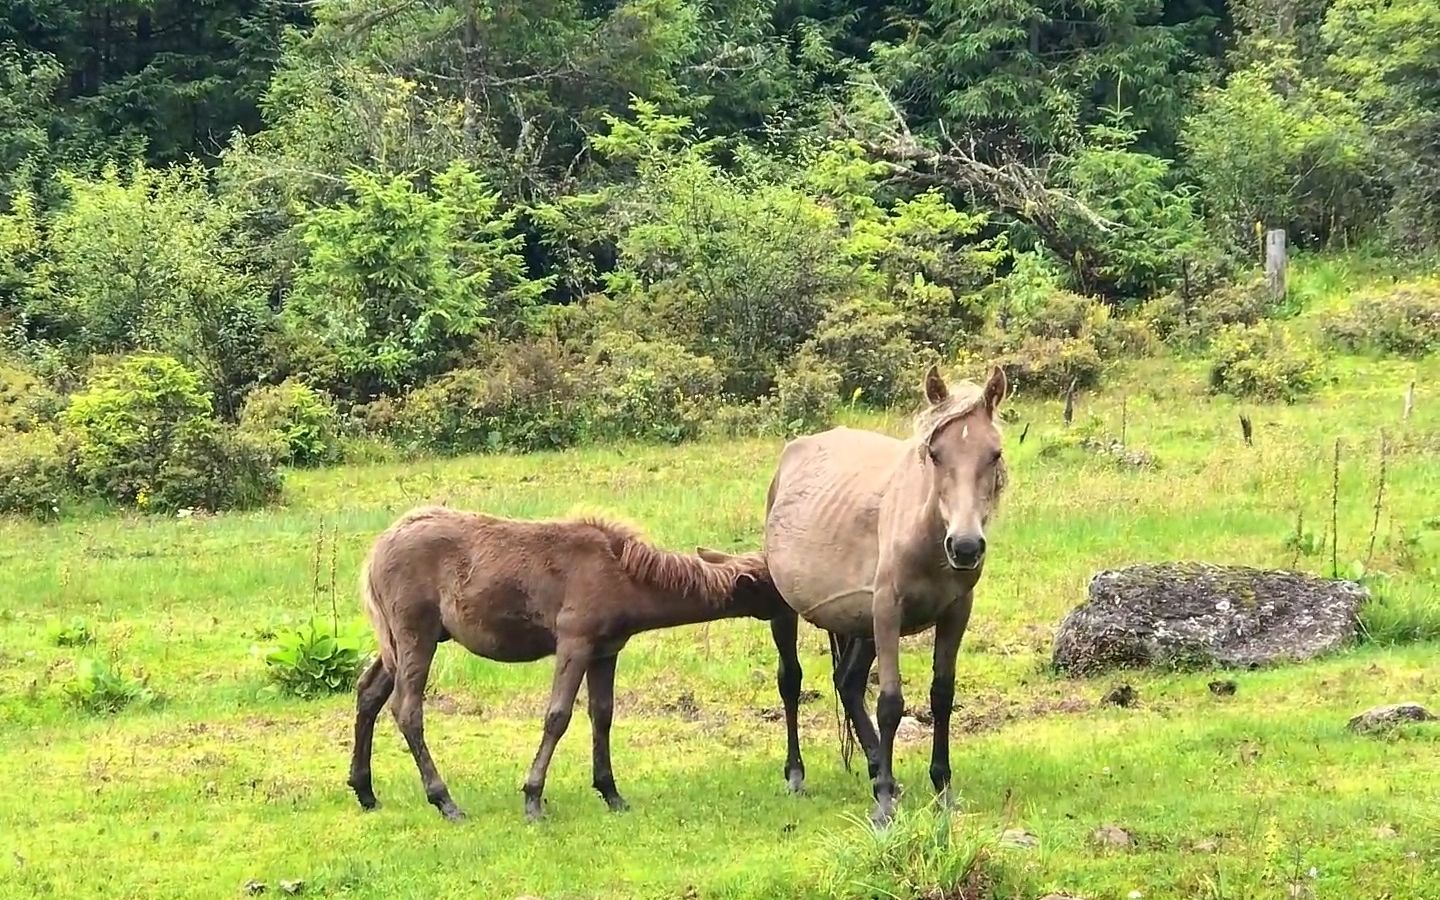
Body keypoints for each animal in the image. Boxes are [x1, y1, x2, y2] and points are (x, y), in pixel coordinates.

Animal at [760, 361, 1008, 823]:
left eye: (995, 454)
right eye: (935, 453)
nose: (965, 547)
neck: (927, 540)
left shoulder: (956, 613)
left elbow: (942, 696)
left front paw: (942, 790)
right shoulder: (888, 612)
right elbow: (891, 703)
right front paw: (884, 805)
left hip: (861, 625)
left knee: (848, 682)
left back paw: (878, 768)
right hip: (788, 609)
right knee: (791, 681)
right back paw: (798, 774)